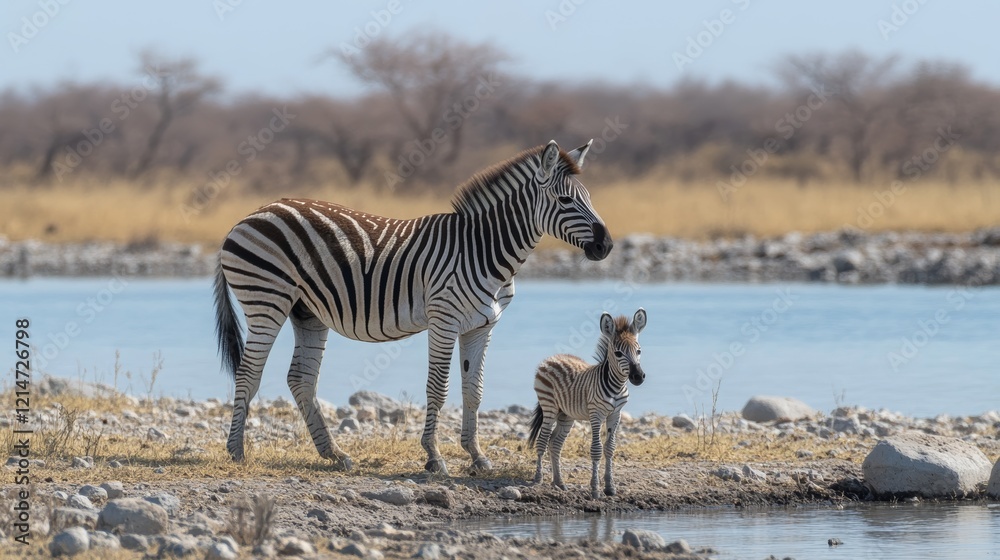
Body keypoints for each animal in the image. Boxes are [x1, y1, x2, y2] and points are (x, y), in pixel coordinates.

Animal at [213, 140, 613, 475]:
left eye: (590, 198)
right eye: (565, 202)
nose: (606, 246)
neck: (482, 249)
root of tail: (249, 216)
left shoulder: (481, 325)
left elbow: (474, 390)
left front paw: (477, 456)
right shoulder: (444, 318)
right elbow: (438, 388)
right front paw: (434, 458)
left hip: (306, 311)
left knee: (300, 379)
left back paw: (334, 454)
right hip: (267, 299)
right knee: (248, 372)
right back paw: (237, 451)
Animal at [528, 308, 646, 499]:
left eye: (639, 351)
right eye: (618, 353)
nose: (638, 377)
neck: (617, 385)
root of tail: (552, 357)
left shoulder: (616, 414)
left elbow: (610, 448)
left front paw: (610, 488)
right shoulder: (596, 414)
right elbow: (596, 449)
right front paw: (595, 489)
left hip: (566, 414)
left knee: (555, 443)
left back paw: (559, 482)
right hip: (549, 406)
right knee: (542, 440)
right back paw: (538, 479)